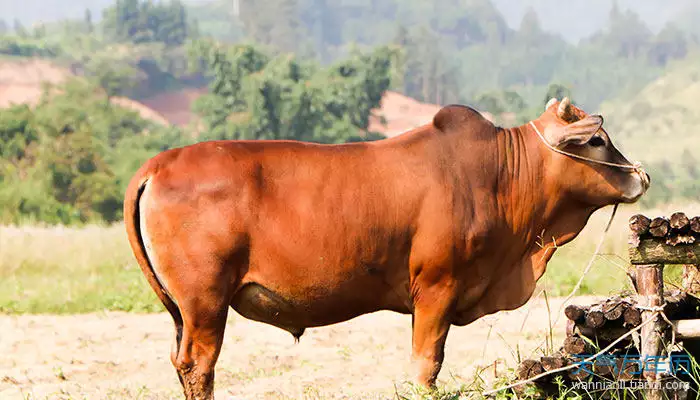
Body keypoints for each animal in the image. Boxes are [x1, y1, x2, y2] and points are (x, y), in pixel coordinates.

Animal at [123, 96, 648, 396]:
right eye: (597, 140)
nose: (641, 176)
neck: (502, 175)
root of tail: (159, 163)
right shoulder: (438, 288)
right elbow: (426, 366)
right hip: (205, 303)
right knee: (199, 366)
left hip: (182, 310)